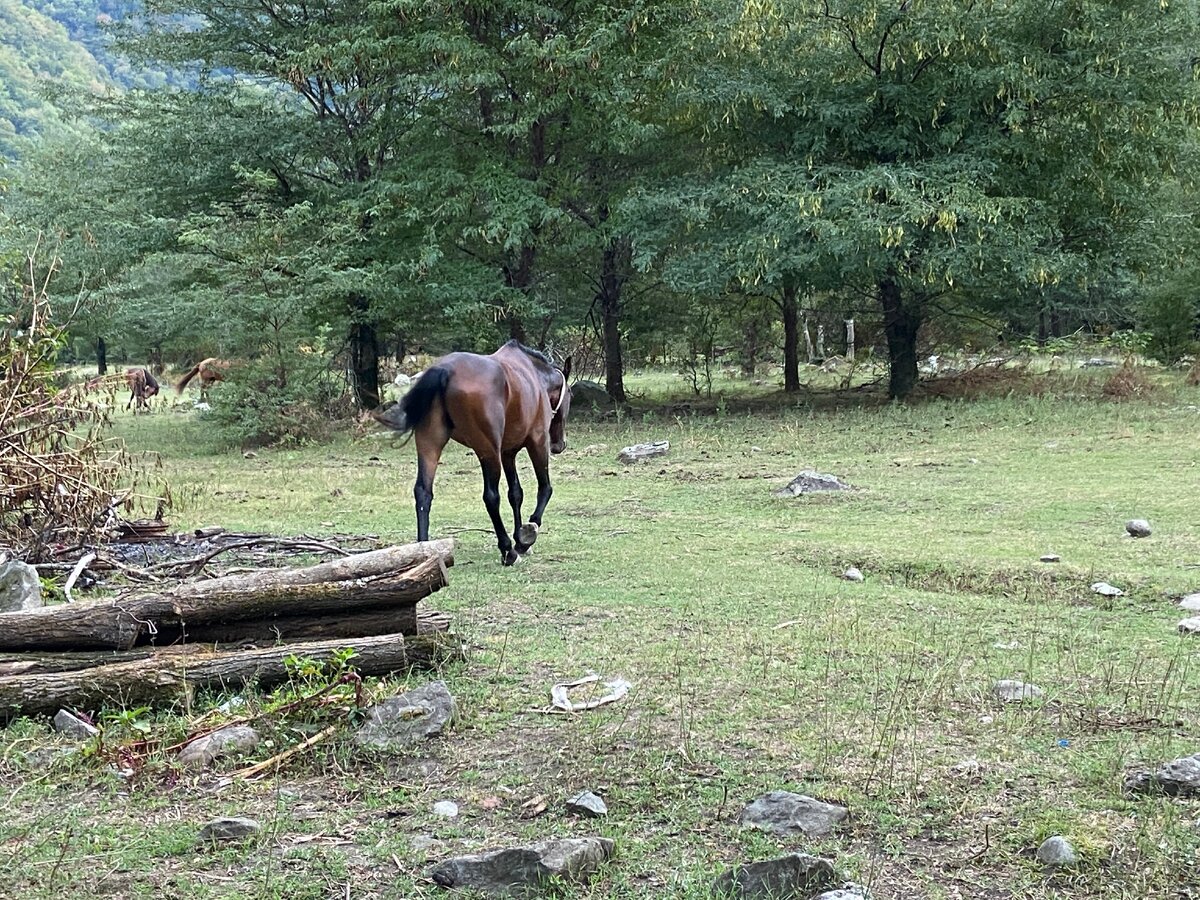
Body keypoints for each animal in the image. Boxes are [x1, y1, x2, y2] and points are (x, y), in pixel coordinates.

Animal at [374, 340, 571, 566]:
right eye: (571, 396)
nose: (559, 445)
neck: (534, 376)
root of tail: (446, 369)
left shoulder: (508, 452)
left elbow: (515, 494)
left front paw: (519, 537)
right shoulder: (537, 442)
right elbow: (545, 488)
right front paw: (526, 536)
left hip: (430, 443)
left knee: (423, 492)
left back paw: (425, 551)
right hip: (488, 451)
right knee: (491, 497)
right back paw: (507, 551)